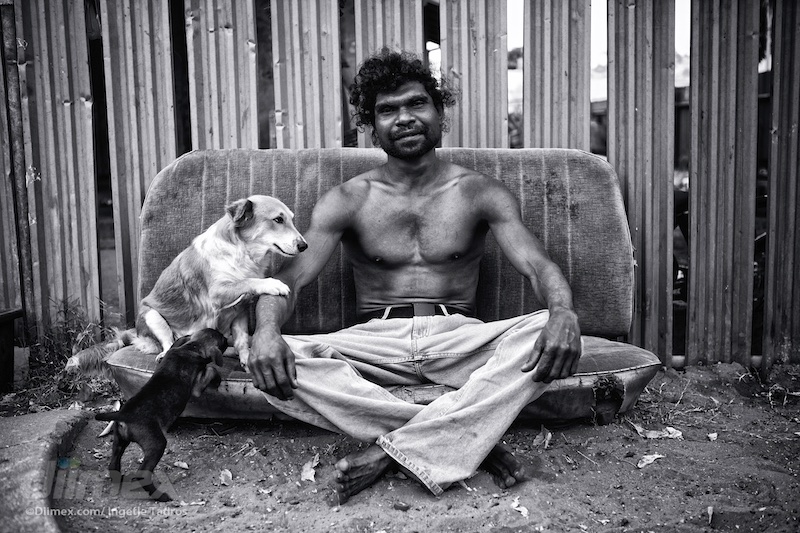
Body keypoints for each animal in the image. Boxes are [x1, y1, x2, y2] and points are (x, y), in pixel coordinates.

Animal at [96, 326, 225, 500]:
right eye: (223, 340)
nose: (228, 340)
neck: (191, 347)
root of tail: (123, 415)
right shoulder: (198, 387)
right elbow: (211, 370)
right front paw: (217, 380)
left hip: (119, 441)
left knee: (113, 464)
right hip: (156, 444)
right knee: (143, 474)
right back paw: (160, 496)